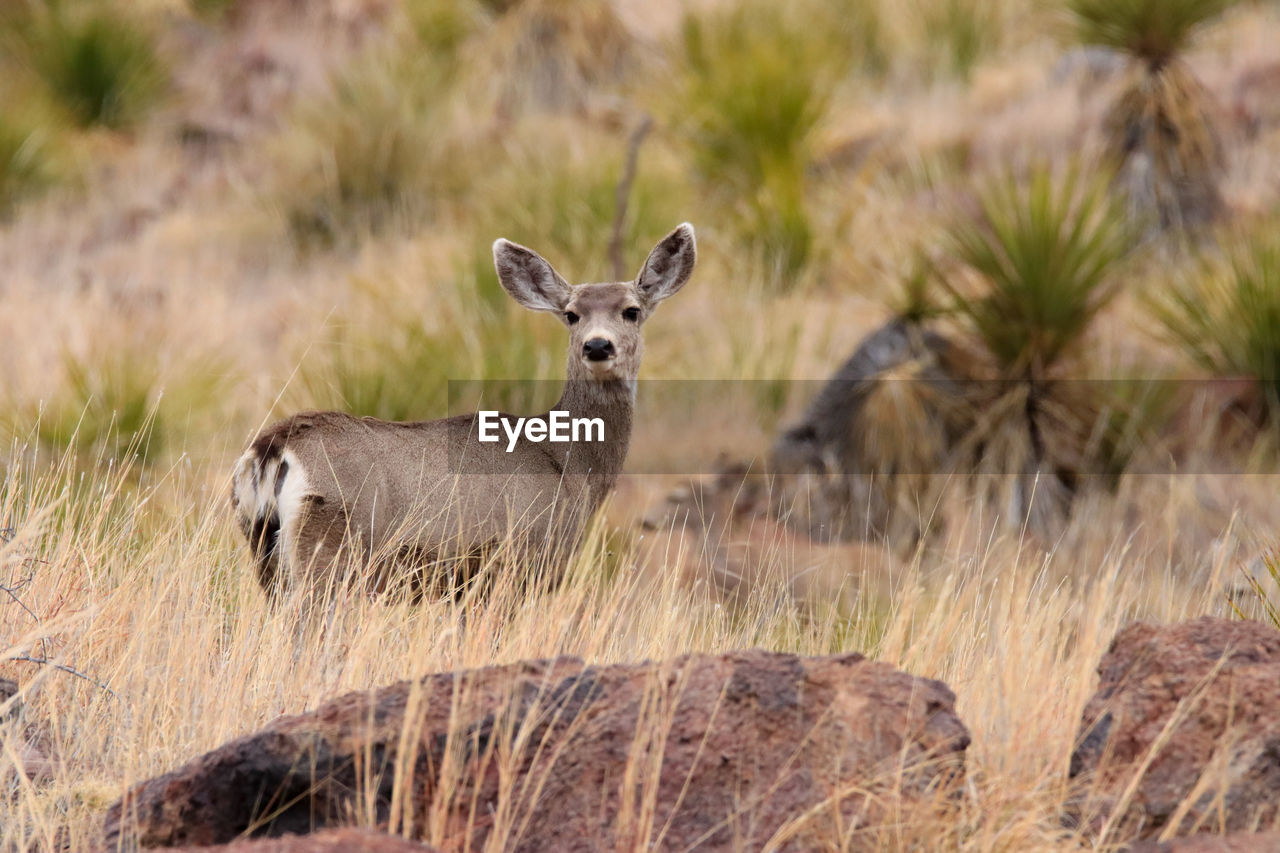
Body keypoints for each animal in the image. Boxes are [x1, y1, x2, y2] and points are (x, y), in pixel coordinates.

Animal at [225, 222, 696, 601]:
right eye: (571, 314)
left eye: (631, 311)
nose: (597, 346)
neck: (568, 461)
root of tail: (271, 449)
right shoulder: (516, 562)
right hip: (330, 549)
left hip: (264, 551)